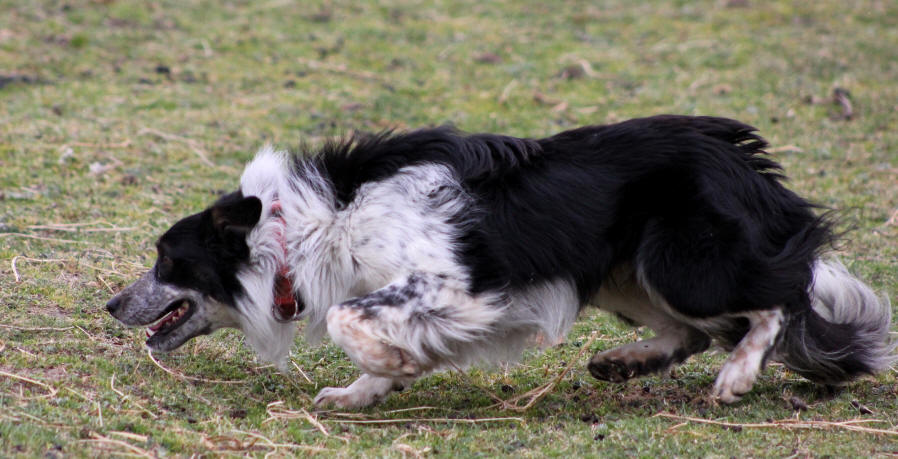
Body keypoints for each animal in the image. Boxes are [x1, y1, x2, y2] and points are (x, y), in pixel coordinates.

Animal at [105, 116, 888, 410]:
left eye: (166, 259)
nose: (110, 305)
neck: (304, 228)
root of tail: (752, 170)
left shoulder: (454, 285)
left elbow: (354, 320)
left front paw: (389, 367)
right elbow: (373, 331)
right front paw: (362, 392)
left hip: (681, 264)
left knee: (773, 302)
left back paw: (737, 375)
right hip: (623, 277)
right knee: (693, 330)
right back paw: (625, 361)